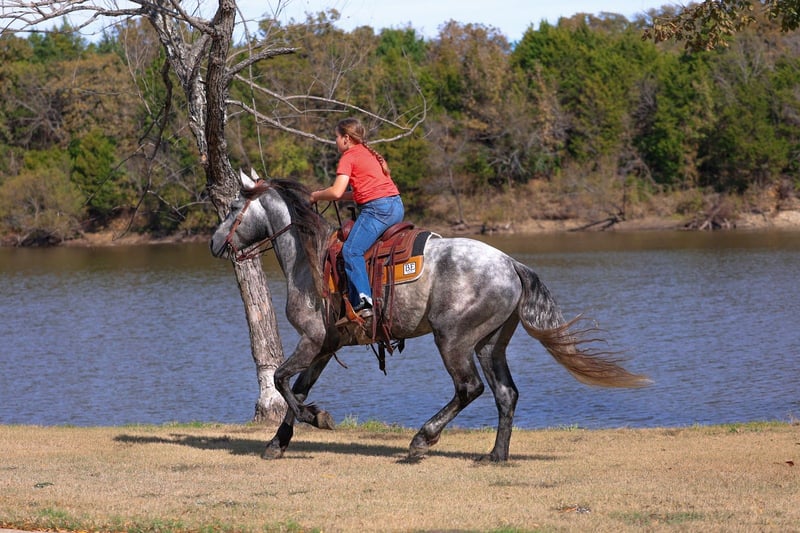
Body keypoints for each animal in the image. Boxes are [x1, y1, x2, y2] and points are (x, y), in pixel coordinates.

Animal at [210, 170, 650, 462]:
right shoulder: (325, 346)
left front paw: (316, 418)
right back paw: (495, 455)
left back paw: (422, 439)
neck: (311, 258)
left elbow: (282, 381)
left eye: (233, 207)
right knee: (505, 394)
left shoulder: (312, 340)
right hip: (490, 343)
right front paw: (278, 442)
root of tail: (511, 264)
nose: (215, 243)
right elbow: (295, 389)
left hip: (452, 339)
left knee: (469, 388)